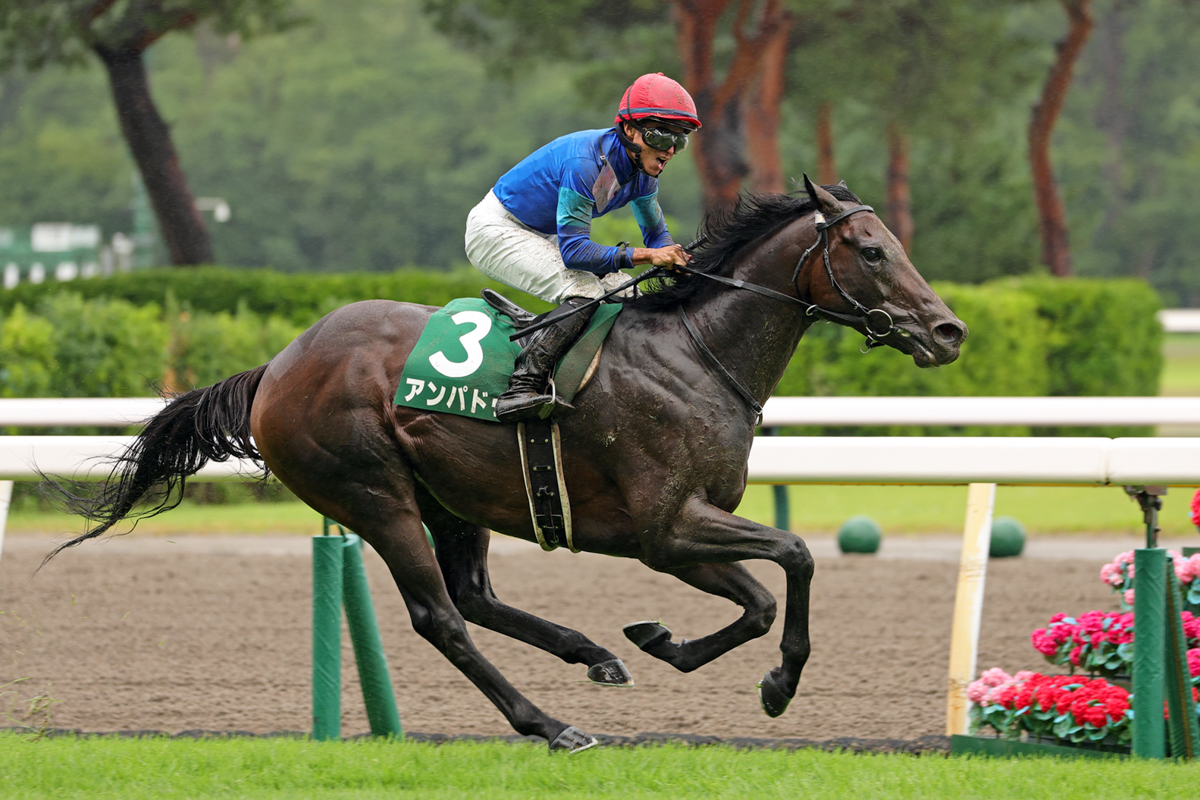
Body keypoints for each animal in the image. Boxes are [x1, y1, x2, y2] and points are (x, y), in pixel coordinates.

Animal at [46, 178, 966, 752]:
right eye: (873, 251)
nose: (949, 330)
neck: (697, 354)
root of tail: (275, 367)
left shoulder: (678, 535)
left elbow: (758, 600)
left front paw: (662, 641)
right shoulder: (665, 530)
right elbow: (795, 560)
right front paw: (777, 682)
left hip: (455, 498)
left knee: (474, 596)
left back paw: (592, 653)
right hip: (374, 494)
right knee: (441, 618)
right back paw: (551, 725)